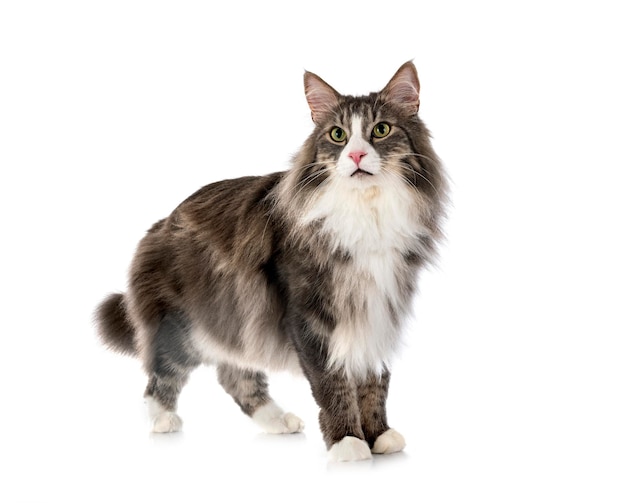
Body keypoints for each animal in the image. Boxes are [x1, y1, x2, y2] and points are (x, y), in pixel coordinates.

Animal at [95, 61, 446, 462]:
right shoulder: (310, 317)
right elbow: (334, 385)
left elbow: (374, 381)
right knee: (161, 376)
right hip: (182, 326)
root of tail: (159, 226)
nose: (356, 156)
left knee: (234, 376)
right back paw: (163, 419)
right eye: (338, 135)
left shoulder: (377, 311)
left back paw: (277, 420)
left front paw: (379, 435)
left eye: (381, 130)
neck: (366, 210)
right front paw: (348, 442)